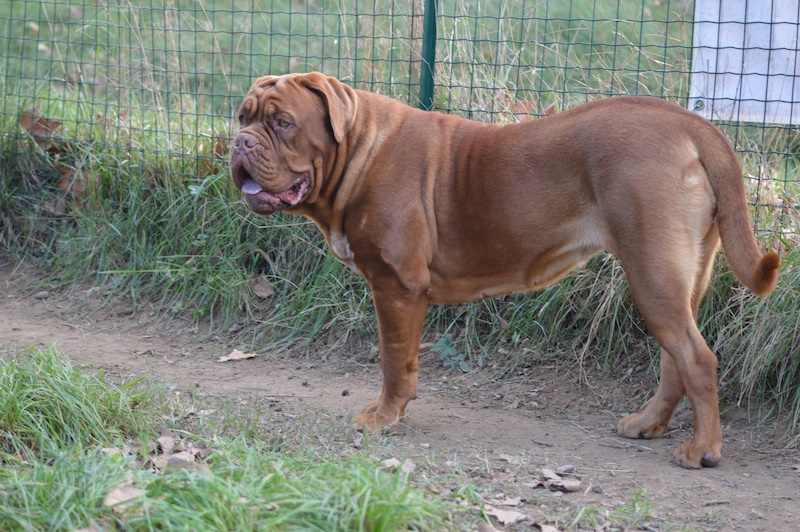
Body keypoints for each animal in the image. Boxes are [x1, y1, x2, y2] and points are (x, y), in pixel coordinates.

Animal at [228, 72, 780, 468]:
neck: (359, 150)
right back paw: (647, 424)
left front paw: (384, 417)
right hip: (678, 276)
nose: (240, 143)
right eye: (242, 116)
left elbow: (393, 362)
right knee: (676, 359)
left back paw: (702, 451)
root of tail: (692, 124)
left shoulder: (396, 286)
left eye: (282, 123)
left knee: (697, 360)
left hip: (653, 271)